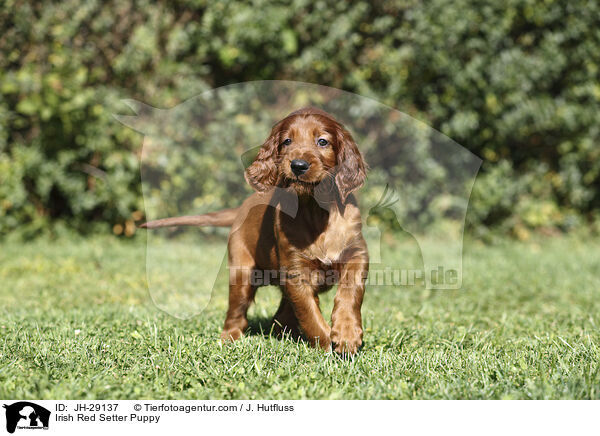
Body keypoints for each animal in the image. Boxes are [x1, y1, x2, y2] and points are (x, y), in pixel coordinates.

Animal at [143, 108, 368, 354]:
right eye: (287, 141)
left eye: (322, 141)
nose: (298, 165)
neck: (316, 211)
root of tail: (243, 206)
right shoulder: (295, 271)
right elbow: (310, 313)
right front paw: (329, 345)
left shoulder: (357, 254)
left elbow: (350, 291)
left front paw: (346, 334)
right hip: (242, 273)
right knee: (237, 313)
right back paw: (230, 338)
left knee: (281, 315)